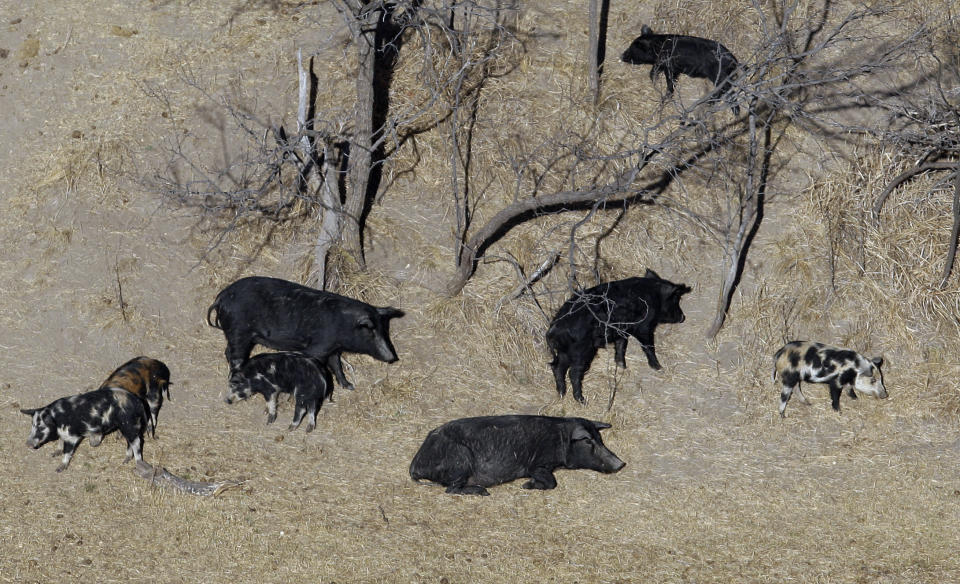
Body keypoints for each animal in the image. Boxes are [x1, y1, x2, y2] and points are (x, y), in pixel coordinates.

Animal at [20, 388, 148, 474]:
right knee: (130, 442)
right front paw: (55, 453)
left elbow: (67, 452)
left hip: (128, 424)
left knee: (136, 442)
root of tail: (138, 402)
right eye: (32, 425)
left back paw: (137, 464)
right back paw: (125, 460)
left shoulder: (72, 437)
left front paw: (59, 469)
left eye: (41, 427)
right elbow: (60, 441)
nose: (27, 444)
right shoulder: (63, 434)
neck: (57, 417)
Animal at [206, 278, 404, 392]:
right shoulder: (317, 348)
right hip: (239, 332)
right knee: (235, 356)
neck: (343, 326)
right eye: (370, 331)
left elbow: (337, 366)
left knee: (227, 352)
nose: (392, 357)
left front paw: (349, 387)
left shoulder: (333, 349)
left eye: (384, 330)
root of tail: (220, 298)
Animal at [408, 416, 628, 498]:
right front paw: (526, 485)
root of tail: (415, 465)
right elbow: (552, 482)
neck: (560, 439)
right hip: (461, 459)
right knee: (451, 489)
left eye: (600, 439)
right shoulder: (537, 464)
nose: (621, 463)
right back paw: (483, 492)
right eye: (589, 441)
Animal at [548, 268, 688, 402]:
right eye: (676, 300)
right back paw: (582, 401)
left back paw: (561, 394)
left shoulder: (621, 331)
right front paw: (659, 367)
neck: (654, 296)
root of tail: (555, 328)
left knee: (557, 367)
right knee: (573, 372)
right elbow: (648, 347)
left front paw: (622, 367)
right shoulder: (644, 327)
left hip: (565, 351)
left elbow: (621, 346)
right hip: (581, 351)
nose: (683, 317)